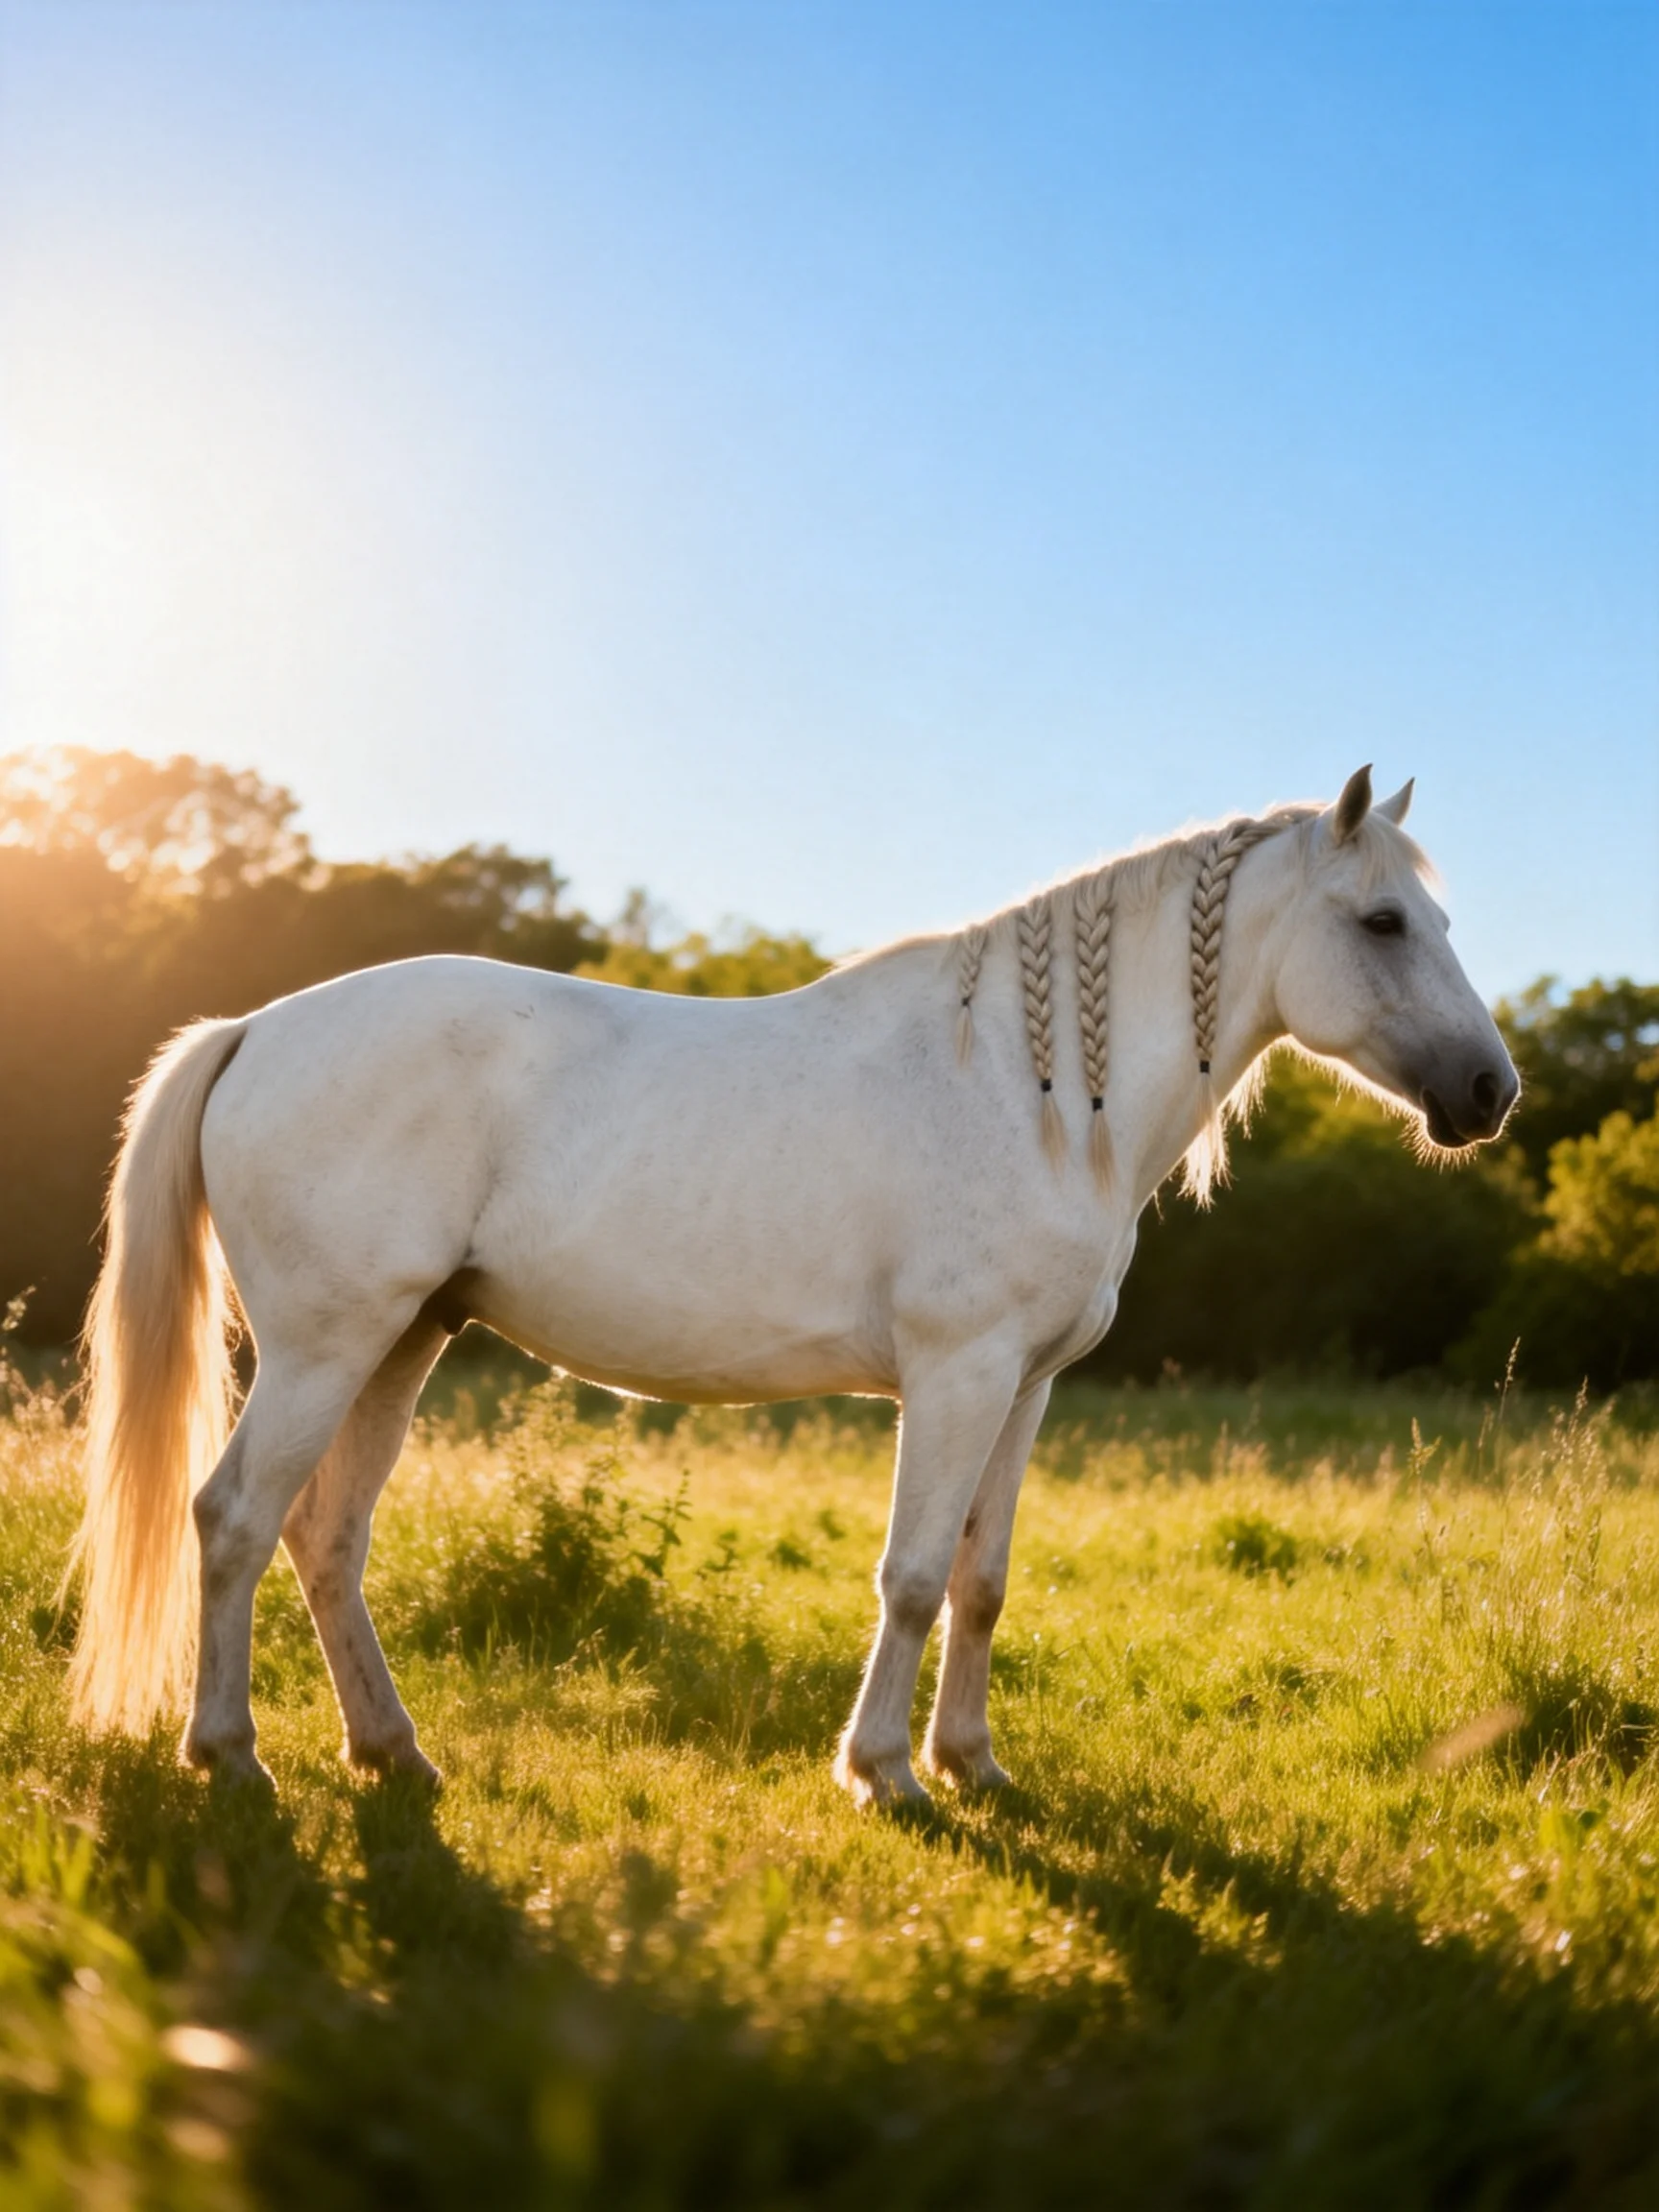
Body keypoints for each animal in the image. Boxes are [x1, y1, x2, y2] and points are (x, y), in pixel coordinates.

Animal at [67, 765, 1518, 1804]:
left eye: (1442, 919)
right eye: (1383, 921)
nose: (1490, 1092)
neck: (1037, 1090)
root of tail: (256, 1027)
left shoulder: (1027, 1390)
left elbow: (985, 1581)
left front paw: (973, 1765)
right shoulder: (957, 1377)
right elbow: (915, 1575)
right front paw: (884, 1776)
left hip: (401, 1342)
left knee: (326, 1537)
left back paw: (392, 1754)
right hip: (328, 1347)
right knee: (234, 1517)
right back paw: (231, 1756)